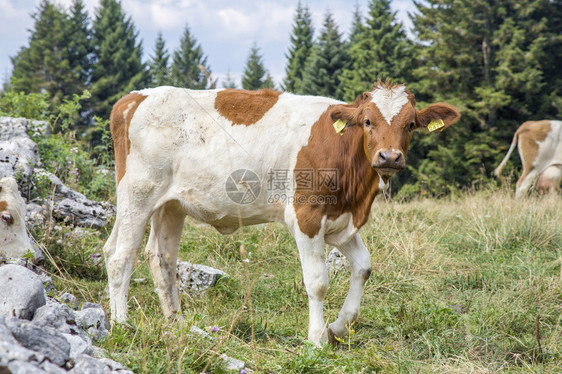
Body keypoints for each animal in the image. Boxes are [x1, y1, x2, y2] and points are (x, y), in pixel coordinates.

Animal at [104, 81, 460, 344]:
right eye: (368, 121)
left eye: (410, 124)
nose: (389, 157)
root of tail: (136, 97)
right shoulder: (307, 215)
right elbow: (317, 281)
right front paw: (316, 338)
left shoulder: (341, 220)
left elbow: (364, 267)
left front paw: (338, 328)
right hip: (138, 192)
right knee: (120, 255)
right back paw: (122, 325)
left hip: (170, 204)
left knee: (159, 259)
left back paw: (177, 325)